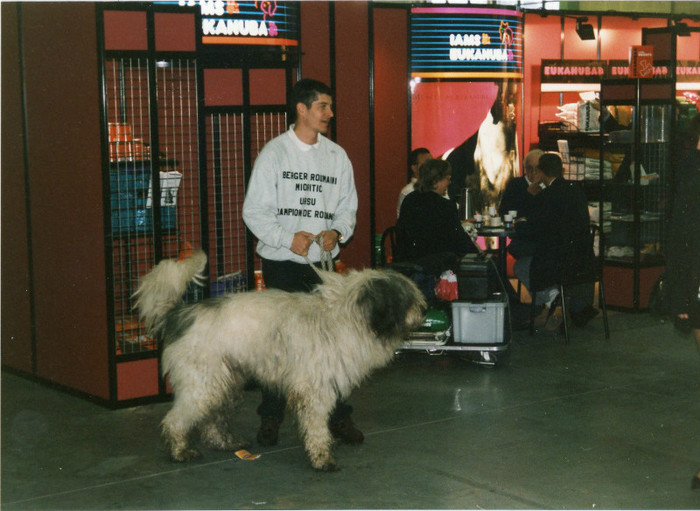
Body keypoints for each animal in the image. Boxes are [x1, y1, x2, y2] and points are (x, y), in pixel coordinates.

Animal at [134, 251, 424, 472]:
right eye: (408, 300)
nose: (422, 312)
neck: (348, 316)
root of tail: (179, 314)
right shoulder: (314, 390)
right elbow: (317, 426)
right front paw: (322, 458)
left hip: (224, 381)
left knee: (211, 420)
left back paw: (225, 442)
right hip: (202, 382)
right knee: (176, 420)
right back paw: (180, 451)